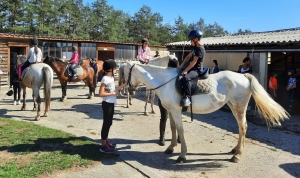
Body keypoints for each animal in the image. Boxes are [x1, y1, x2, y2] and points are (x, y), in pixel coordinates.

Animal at [124, 62, 288, 163]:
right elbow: (173, 128)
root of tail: (243, 76)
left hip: (239, 107)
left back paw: (237, 155)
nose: (129, 90)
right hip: (233, 106)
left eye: (125, 72)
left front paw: (182, 155)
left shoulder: (176, 111)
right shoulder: (171, 110)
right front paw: (170, 148)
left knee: (243, 127)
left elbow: (181, 130)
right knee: (242, 128)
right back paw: (235, 150)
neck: (166, 82)